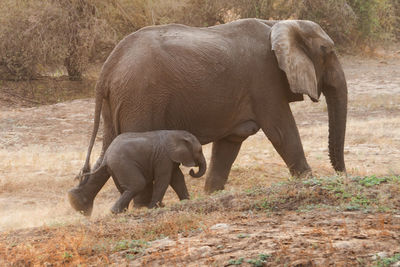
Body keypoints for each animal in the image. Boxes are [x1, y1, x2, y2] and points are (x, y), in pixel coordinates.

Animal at [68, 131, 206, 217]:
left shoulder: (170, 158)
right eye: (200, 151)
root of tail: (107, 156)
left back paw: (121, 212)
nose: (192, 170)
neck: (177, 134)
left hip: (115, 168)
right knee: (138, 184)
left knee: (125, 188)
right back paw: (115, 212)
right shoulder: (163, 157)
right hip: (123, 164)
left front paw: (186, 201)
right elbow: (164, 179)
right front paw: (154, 208)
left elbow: (177, 178)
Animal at [78, 18, 346, 199]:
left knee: (108, 148)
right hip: (140, 99)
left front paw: (211, 194)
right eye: (327, 51)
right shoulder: (265, 80)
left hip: (120, 101)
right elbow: (281, 132)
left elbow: (229, 144)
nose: (342, 175)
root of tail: (108, 68)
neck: (279, 25)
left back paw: (79, 204)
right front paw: (310, 181)